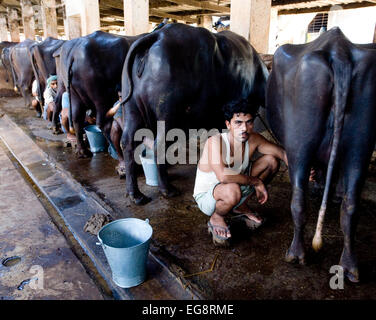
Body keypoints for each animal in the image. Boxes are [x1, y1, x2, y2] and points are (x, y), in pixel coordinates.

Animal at [53, 30, 145, 158]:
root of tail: (73, 52)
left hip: (74, 94)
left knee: (76, 118)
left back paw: (82, 151)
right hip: (101, 98)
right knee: (104, 124)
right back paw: (115, 152)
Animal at [119, 24, 268, 205]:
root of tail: (157, 35)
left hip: (131, 108)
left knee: (127, 142)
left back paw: (136, 194)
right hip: (167, 113)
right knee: (158, 146)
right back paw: (167, 189)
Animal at [266, 28, 376, 282]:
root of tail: (339, 51)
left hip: (300, 143)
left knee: (298, 199)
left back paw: (296, 254)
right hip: (361, 145)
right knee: (351, 205)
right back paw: (349, 267)